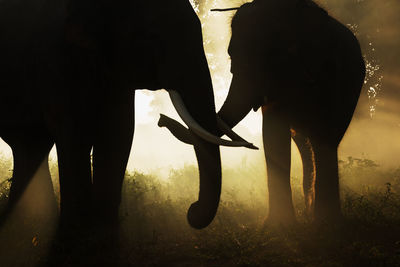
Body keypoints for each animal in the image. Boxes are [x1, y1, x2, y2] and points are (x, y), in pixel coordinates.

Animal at [0, 0, 256, 230]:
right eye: (152, 37)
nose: (191, 210)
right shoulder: (55, 60)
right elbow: (75, 136)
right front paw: (77, 237)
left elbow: (118, 134)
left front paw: (103, 236)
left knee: (31, 146)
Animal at [162, 0, 366, 224]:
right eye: (231, 56)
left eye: (270, 59)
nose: (161, 120)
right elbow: (273, 133)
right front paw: (279, 226)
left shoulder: (330, 74)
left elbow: (323, 133)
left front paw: (324, 225)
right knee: (305, 144)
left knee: (323, 141)